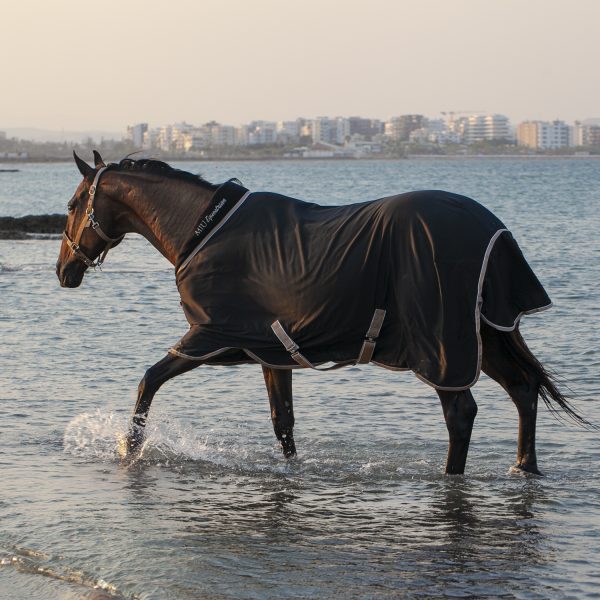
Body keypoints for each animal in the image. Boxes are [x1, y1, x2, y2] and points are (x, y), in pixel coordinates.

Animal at [56, 150, 584, 474]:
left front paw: (130, 446)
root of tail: (492, 226)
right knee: (523, 388)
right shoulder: (270, 351)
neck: (201, 228)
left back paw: (452, 476)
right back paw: (524, 467)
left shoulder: (210, 336)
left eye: (72, 203)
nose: (64, 271)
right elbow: (283, 422)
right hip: (484, 334)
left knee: (462, 412)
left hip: (443, 342)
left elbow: (148, 380)